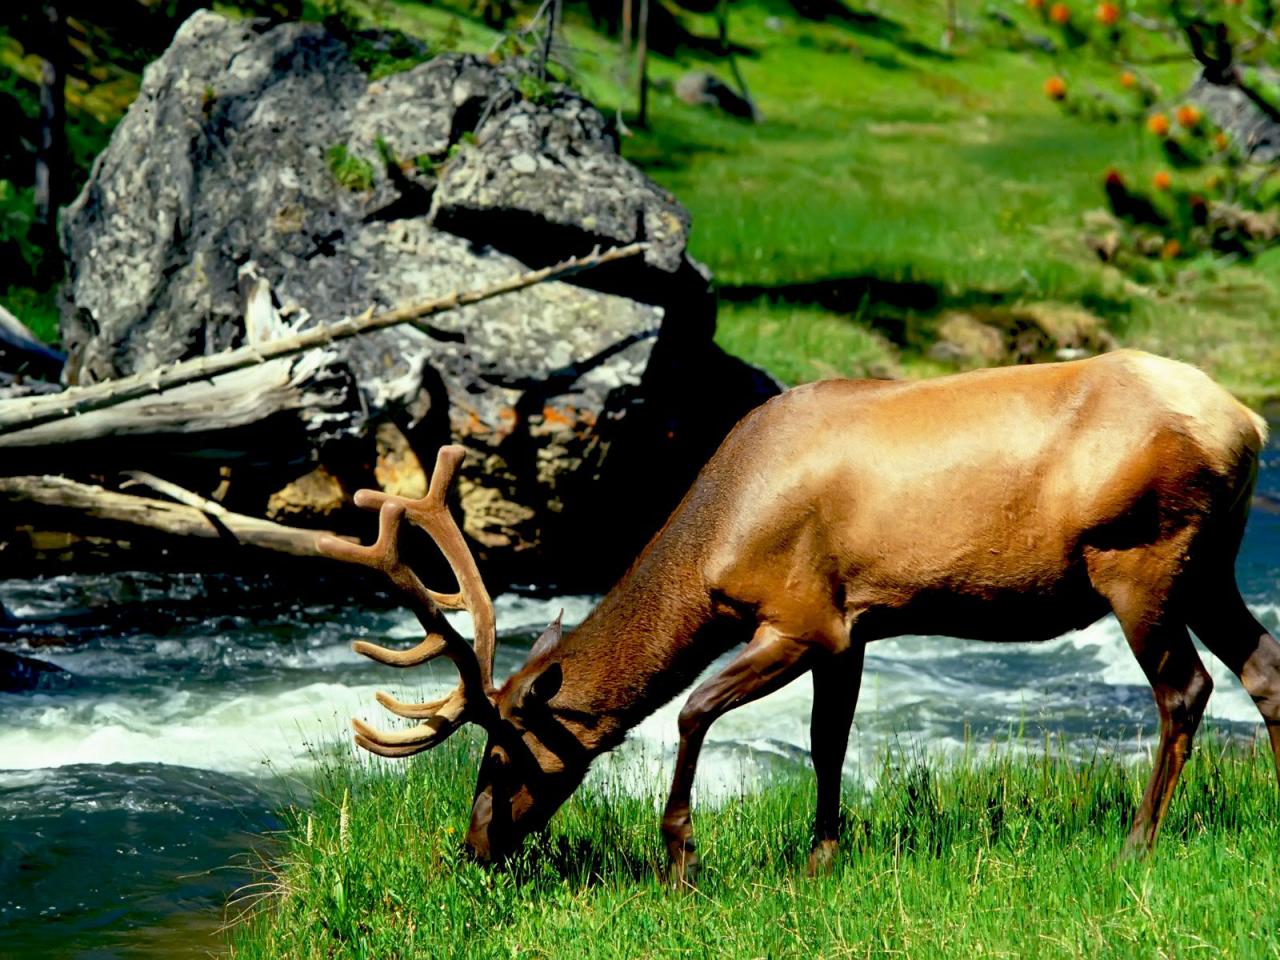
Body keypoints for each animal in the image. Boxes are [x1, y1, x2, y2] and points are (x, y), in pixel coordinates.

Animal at [317, 350, 1269, 885]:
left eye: (503, 755)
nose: (474, 846)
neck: (715, 542)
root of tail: (1249, 423)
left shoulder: (802, 617)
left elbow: (694, 712)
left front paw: (681, 862)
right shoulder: (856, 625)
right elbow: (828, 743)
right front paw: (821, 859)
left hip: (1142, 558)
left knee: (1186, 690)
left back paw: (1137, 844)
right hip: (1211, 566)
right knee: (1265, 671)